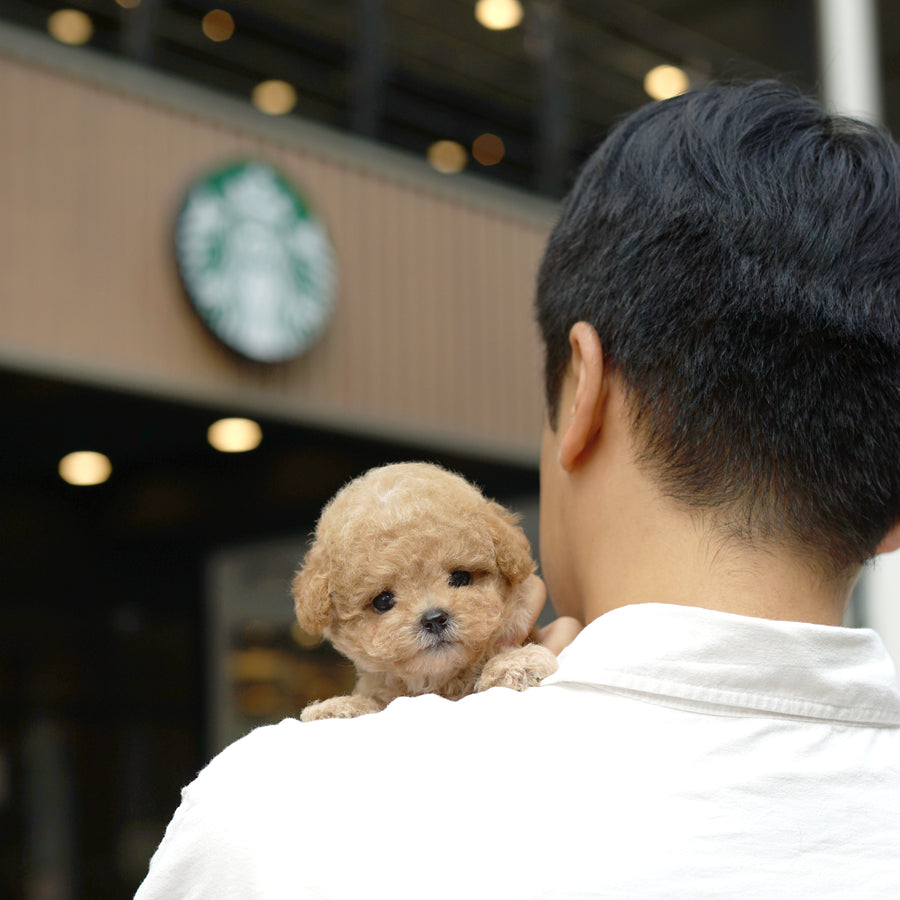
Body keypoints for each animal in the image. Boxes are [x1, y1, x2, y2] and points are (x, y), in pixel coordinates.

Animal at [292, 460, 560, 720]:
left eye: (461, 577)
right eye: (383, 601)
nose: (434, 619)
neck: (442, 683)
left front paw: (515, 664)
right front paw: (337, 708)